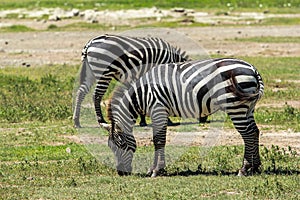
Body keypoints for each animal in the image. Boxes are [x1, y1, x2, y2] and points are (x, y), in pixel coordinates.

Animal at [101, 57, 264, 177]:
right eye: (110, 147)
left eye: (121, 145)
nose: (121, 173)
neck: (141, 94)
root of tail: (253, 69)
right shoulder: (158, 112)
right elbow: (157, 140)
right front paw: (154, 169)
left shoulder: (158, 109)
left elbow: (158, 140)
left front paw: (157, 170)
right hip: (248, 107)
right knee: (254, 131)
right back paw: (255, 167)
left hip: (235, 106)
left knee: (248, 134)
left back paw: (244, 169)